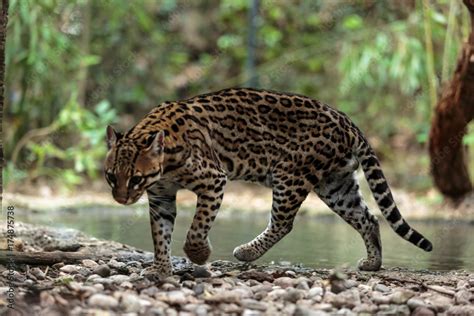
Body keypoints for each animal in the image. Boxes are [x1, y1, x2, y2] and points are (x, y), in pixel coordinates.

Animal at [103, 87, 434, 276]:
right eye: (111, 176)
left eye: (135, 178)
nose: (121, 199)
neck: (164, 165)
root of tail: (345, 119)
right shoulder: (161, 197)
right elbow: (160, 234)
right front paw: (160, 268)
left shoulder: (214, 179)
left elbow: (197, 227)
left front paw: (199, 254)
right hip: (335, 184)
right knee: (368, 218)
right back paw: (372, 263)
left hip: (290, 174)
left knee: (283, 223)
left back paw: (246, 252)